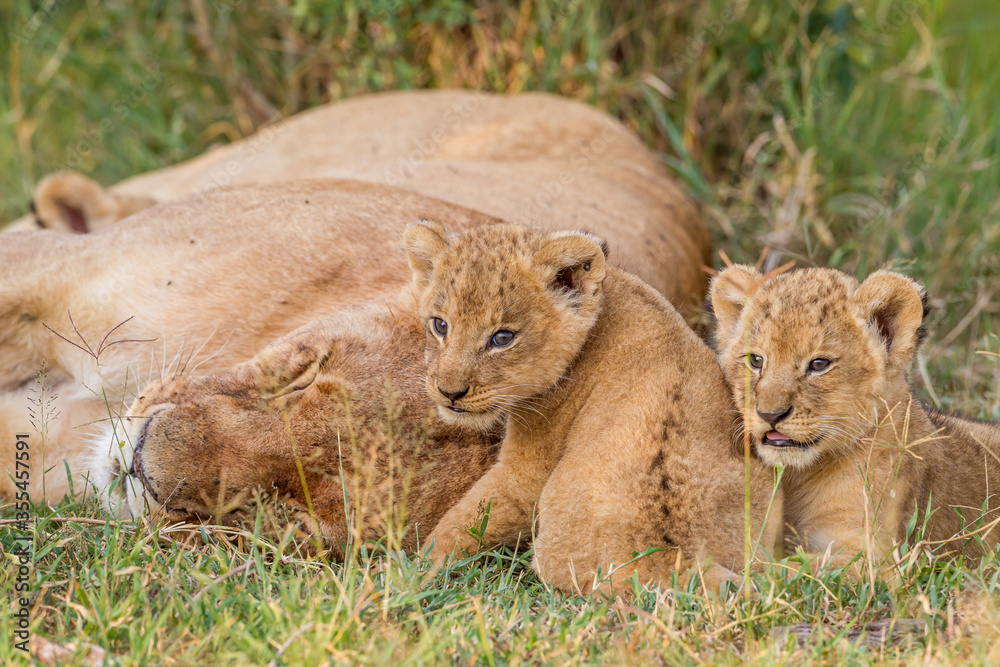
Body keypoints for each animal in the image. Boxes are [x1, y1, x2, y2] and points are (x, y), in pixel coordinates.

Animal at [402, 220, 782, 594]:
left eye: (503, 338)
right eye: (440, 325)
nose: (449, 392)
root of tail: (676, 555)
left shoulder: (529, 469)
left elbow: (462, 522)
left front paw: (412, 576)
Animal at [710, 265, 1000, 572]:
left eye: (819, 364)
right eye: (755, 360)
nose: (770, 414)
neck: (800, 477)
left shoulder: (880, 559)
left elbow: (783, 569)